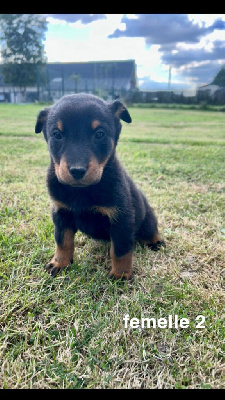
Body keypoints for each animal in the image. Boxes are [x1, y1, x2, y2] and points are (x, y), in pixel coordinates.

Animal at [35, 93, 165, 278]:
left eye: (100, 134)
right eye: (57, 134)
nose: (77, 170)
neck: (82, 191)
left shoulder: (121, 219)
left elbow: (120, 250)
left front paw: (120, 274)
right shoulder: (61, 213)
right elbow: (62, 241)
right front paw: (59, 262)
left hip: (146, 220)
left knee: (150, 230)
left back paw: (157, 241)